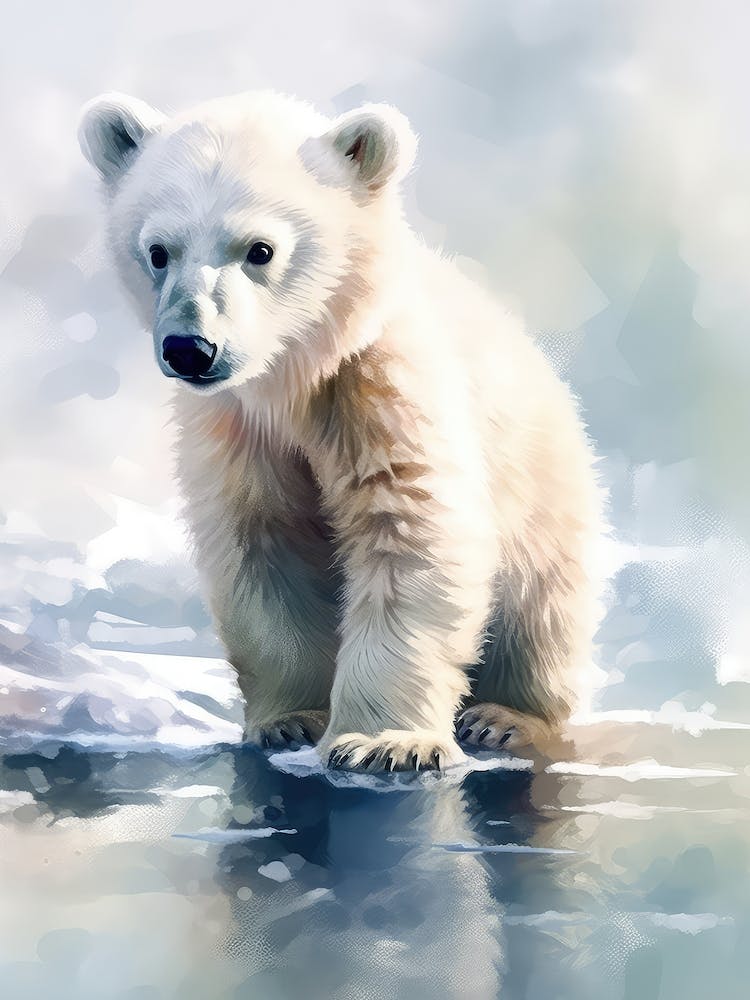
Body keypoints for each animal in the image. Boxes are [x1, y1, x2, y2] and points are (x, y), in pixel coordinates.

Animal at [78, 90, 603, 772]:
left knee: (538, 614)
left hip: (547, 498)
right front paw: (291, 721)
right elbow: (265, 546)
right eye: (158, 250)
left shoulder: (383, 387)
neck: (293, 378)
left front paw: (385, 744)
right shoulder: (236, 429)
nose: (190, 348)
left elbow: (408, 529)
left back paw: (504, 717)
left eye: (260, 249)